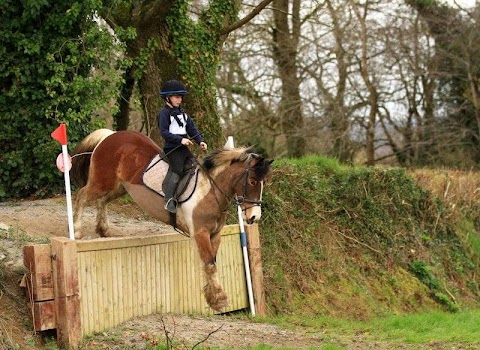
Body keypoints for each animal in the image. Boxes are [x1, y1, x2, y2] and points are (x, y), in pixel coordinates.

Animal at [69, 129, 272, 312]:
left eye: (263, 183)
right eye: (253, 182)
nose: (254, 217)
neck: (209, 191)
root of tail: (110, 135)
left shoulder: (215, 234)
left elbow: (211, 263)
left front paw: (211, 296)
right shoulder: (200, 233)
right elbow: (209, 264)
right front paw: (219, 299)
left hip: (120, 187)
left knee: (101, 201)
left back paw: (104, 229)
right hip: (102, 182)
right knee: (81, 196)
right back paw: (77, 230)